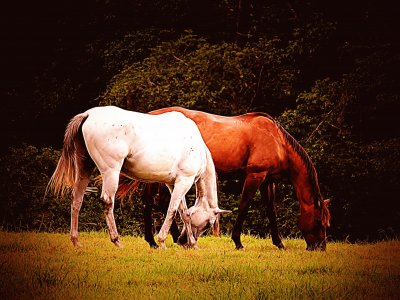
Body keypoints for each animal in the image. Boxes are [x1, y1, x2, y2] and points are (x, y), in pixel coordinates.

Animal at [47, 105, 228, 248]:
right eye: (208, 224)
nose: (183, 241)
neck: (196, 145)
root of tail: (88, 114)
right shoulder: (184, 181)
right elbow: (172, 210)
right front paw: (163, 241)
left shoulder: (174, 184)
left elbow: (184, 213)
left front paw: (192, 244)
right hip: (111, 172)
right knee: (107, 201)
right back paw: (117, 241)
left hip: (85, 168)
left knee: (76, 199)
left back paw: (75, 240)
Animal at [120, 106, 330, 250]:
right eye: (319, 222)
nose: (320, 247)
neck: (277, 141)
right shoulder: (255, 175)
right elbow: (244, 205)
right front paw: (237, 241)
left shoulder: (268, 180)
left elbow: (271, 210)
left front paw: (279, 243)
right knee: (155, 202)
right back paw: (159, 240)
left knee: (159, 201)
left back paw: (164, 239)